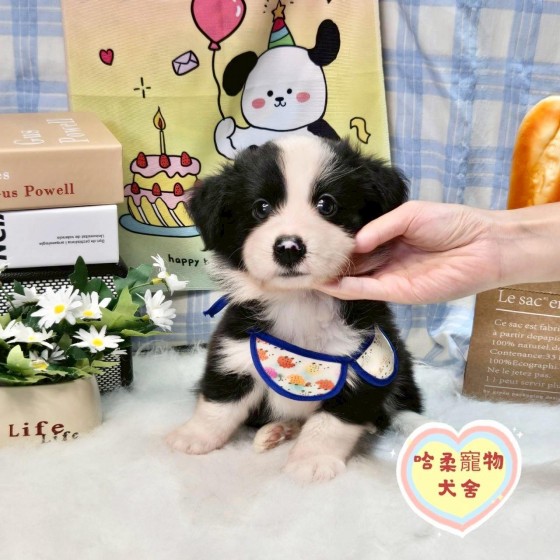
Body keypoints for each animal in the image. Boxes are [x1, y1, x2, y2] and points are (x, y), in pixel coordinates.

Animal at [166, 135, 423, 482]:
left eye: (327, 204)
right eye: (260, 207)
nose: (289, 247)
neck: (300, 301)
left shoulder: (366, 364)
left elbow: (332, 423)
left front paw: (311, 460)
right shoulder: (236, 348)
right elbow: (219, 401)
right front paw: (194, 436)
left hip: (400, 365)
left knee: (402, 405)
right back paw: (277, 431)